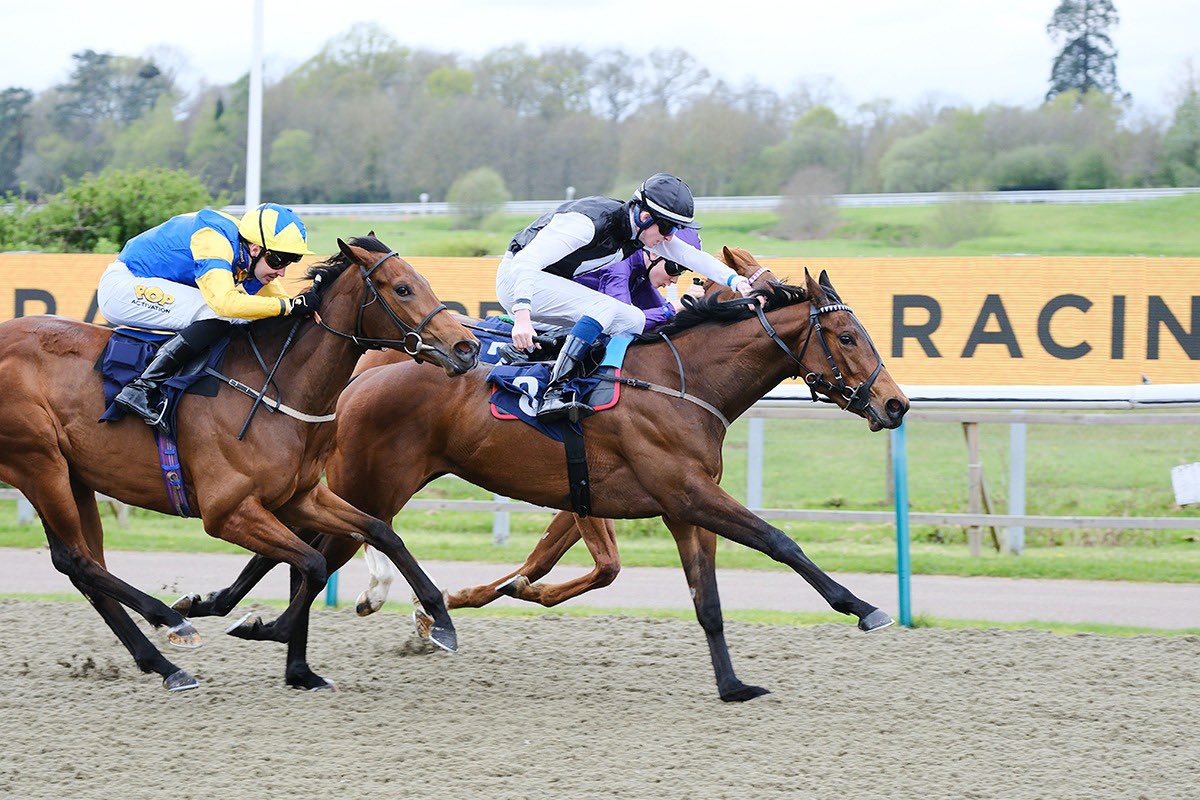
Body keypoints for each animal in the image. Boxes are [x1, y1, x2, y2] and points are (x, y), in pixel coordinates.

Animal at [0, 235, 477, 690]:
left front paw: (440, 620)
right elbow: (314, 564)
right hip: (38, 463)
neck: (276, 387)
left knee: (87, 565)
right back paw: (171, 621)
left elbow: (381, 532)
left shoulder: (301, 497)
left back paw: (166, 665)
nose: (467, 347)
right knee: (75, 559)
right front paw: (260, 627)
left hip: (73, 475)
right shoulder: (228, 512)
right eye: (402, 288)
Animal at [177, 248, 907, 700]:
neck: (682, 380)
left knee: (305, 551)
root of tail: (365, 375)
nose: (896, 403)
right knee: (312, 550)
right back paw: (258, 622)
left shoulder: (678, 505)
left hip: (363, 487)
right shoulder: (687, 491)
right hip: (371, 483)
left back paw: (232, 615)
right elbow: (779, 540)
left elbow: (707, 601)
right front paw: (864, 608)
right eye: (848, 337)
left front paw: (732, 686)